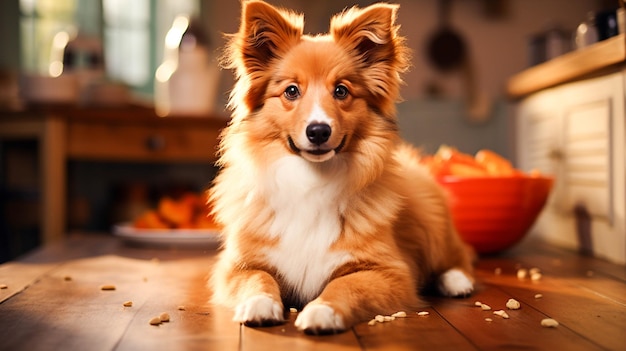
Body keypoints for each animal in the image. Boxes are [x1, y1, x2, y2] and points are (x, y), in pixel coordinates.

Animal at [210, 0, 472, 336]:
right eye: (291, 91)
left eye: (341, 91)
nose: (318, 131)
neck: (311, 180)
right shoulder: (238, 266)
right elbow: (258, 278)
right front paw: (259, 305)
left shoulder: (389, 271)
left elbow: (344, 286)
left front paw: (322, 311)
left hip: (433, 224)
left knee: (460, 256)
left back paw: (456, 281)